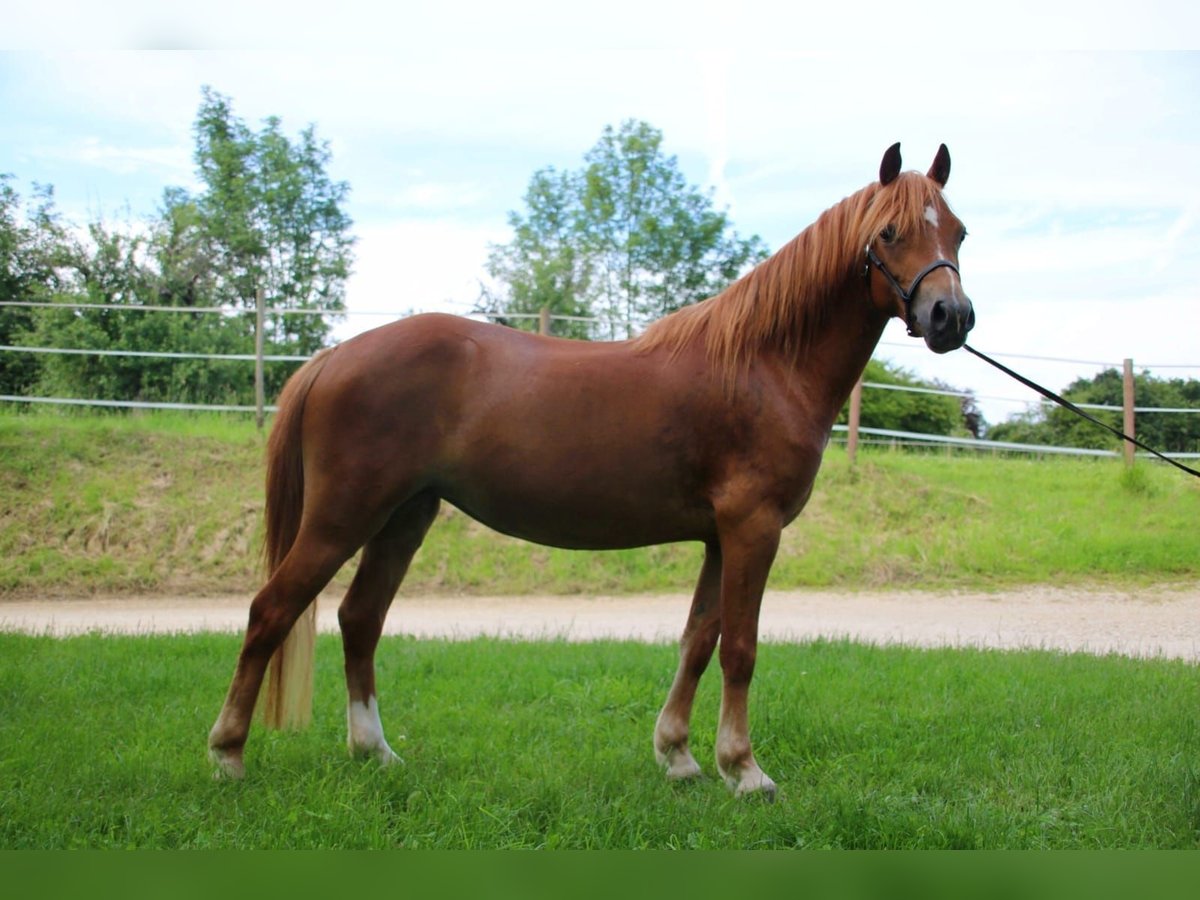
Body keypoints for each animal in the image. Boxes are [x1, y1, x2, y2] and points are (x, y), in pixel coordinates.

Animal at [206, 142, 974, 796]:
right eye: (889, 233)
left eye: (959, 232)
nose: (951, 317)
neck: (764, 363)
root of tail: (335, 356)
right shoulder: (753, 529)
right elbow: (740, 648)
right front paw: (745, 770)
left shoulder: (719, 536)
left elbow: (698, 641)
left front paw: (679, 756)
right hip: (344, 516)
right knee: (271, 611)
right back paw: (228, 754)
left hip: (404, 516)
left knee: (360, 619)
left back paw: (376, 752)